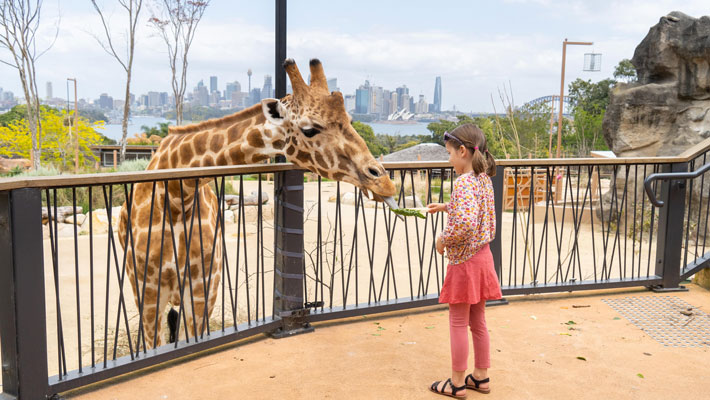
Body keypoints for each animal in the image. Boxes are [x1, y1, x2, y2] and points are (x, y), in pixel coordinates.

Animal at [121, 57, 400, 348]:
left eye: (350, 120)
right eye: (309, 129)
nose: (384, 182)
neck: (177, 198)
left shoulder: (203, 289)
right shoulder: (148, 294)